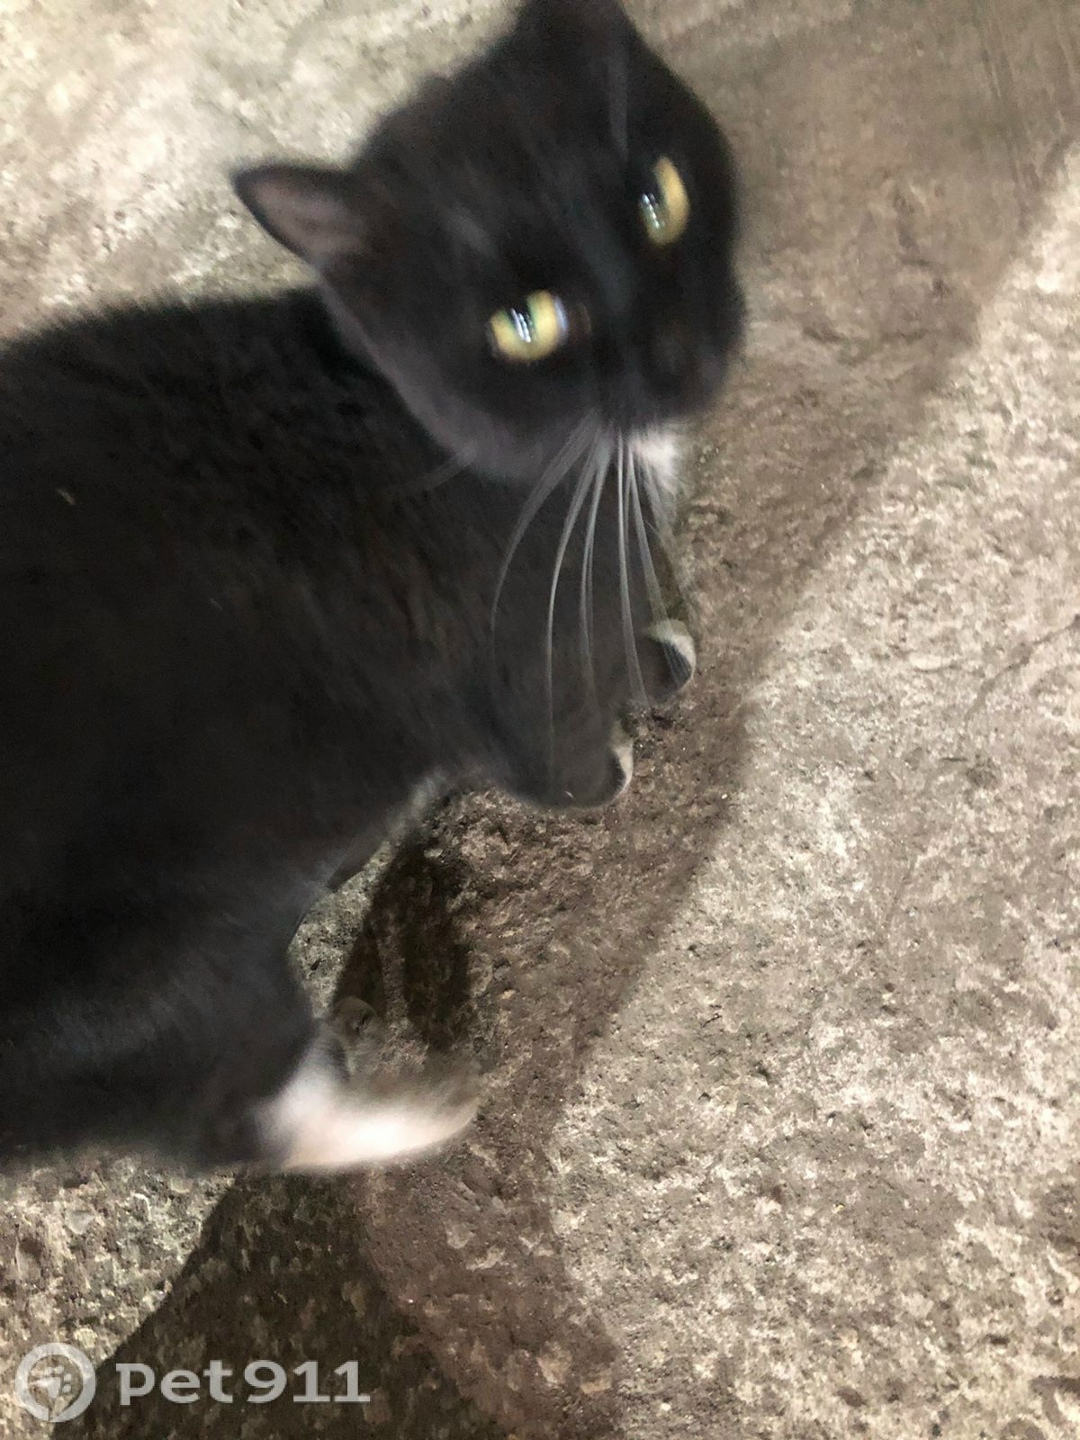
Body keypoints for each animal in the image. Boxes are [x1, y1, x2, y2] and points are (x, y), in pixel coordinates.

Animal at [0, 0, 742, 1174]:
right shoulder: (515, 629)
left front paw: (656, 660)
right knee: (232, 1111)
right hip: (138, 975)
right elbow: (564, 717)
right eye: (524, 326)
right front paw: (617, 753)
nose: (680, 355)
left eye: (658, 201)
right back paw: (420, 1110)